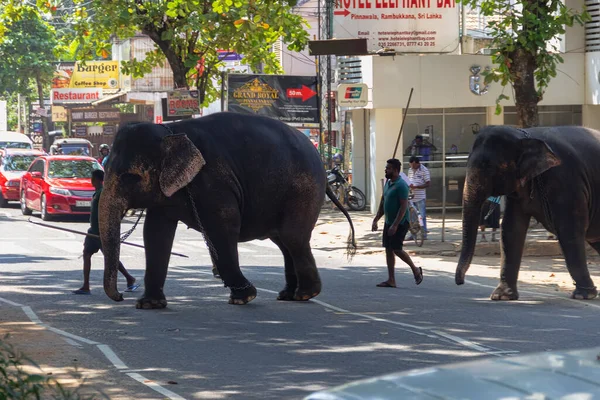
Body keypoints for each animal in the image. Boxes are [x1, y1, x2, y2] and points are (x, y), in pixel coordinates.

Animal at [98, 112, 356, 310]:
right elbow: (155, 233)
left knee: (292, 237)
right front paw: (149, 305)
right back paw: (288, 295)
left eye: (130, 177)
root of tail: (322, 162)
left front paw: (244, 297)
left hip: (303, 189)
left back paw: (304, 295)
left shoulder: (214, 182)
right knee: (283, 241)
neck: (171, 131)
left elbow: (222, 227)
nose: (120, 297)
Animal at [454, 125, 600, 300]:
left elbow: (569, 229)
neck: (526, 134)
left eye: (490, 167)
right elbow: (511, 228)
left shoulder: (567, 180)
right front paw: (502, 296)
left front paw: (583, 295)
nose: (460, 282)